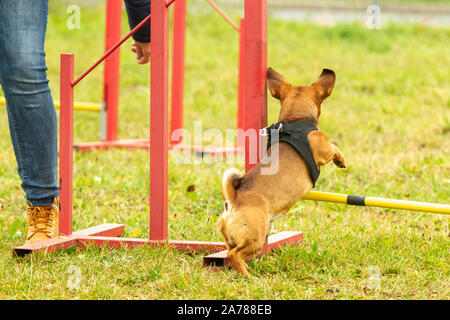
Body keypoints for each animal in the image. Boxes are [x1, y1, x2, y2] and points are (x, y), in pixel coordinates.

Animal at [216, 67, 346, 276]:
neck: (295, 119)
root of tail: (234, 201)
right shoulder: (323, 148)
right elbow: (334, 148)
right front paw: (341, 160)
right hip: (255, 238)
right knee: (233, 254)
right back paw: (247, 275)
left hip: (235, 239)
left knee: (231, 252)